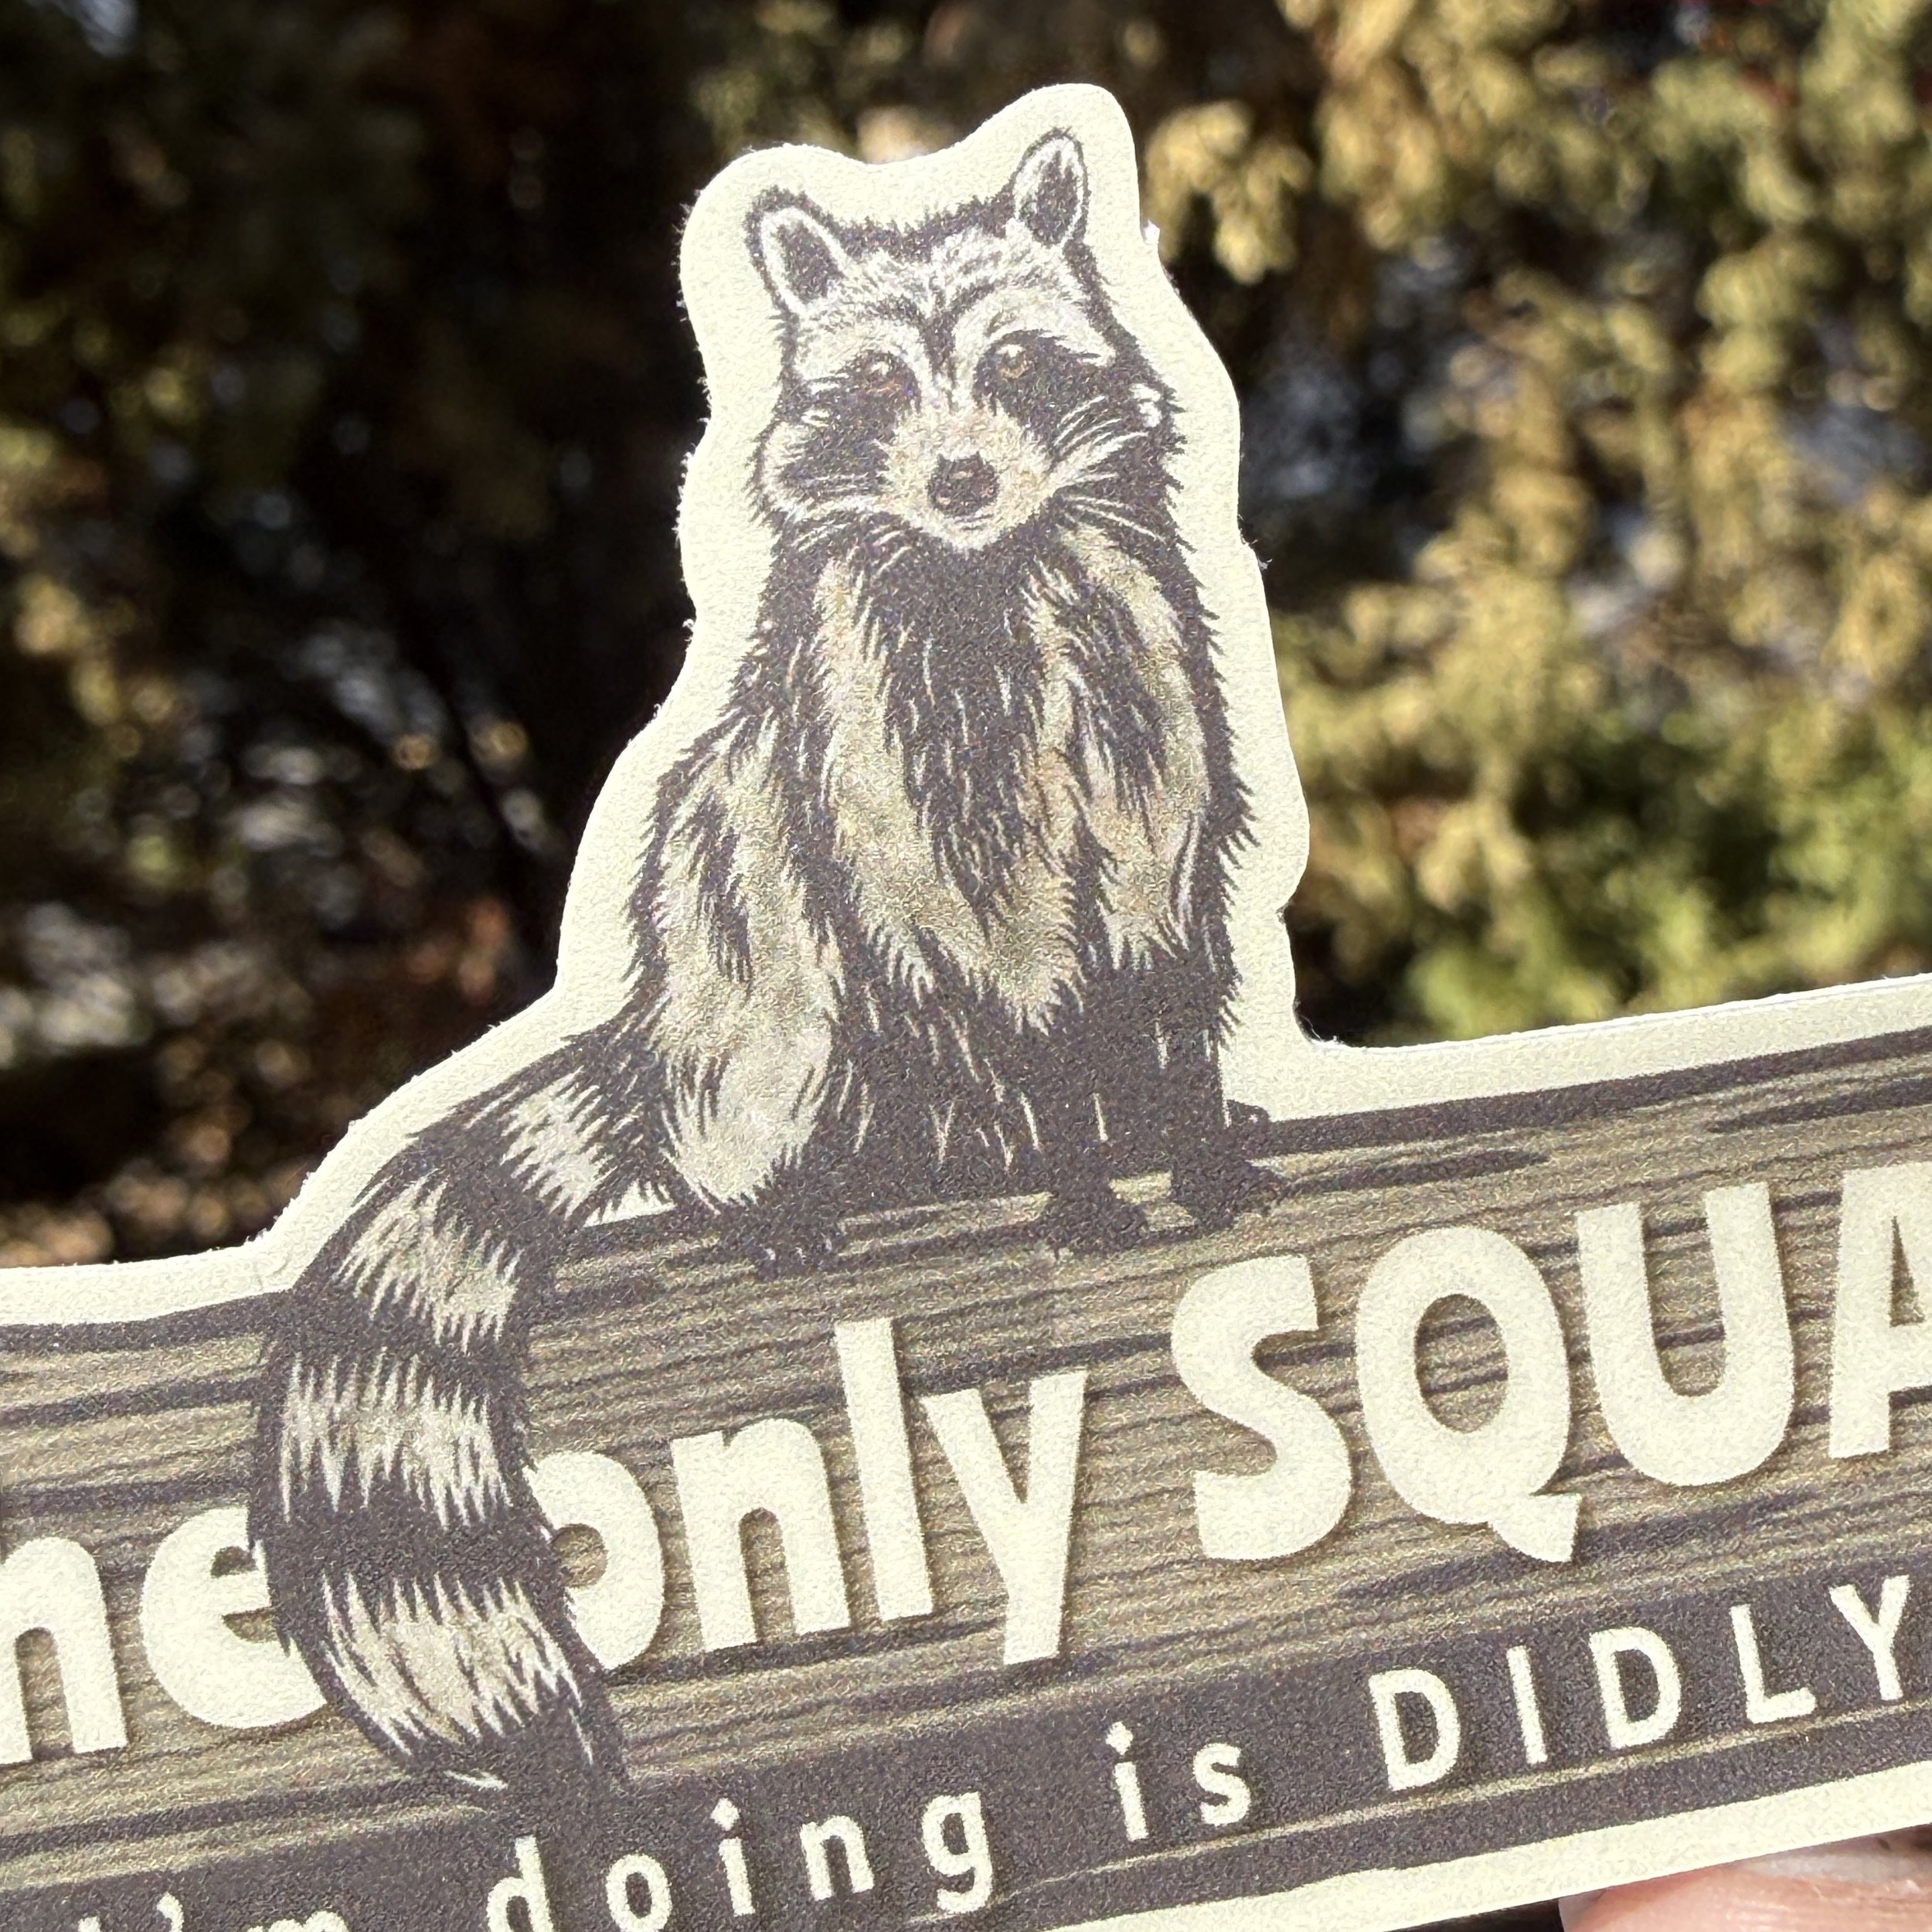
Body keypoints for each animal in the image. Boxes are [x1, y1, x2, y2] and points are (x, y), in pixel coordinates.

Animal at [250, 128, 1281, 1815]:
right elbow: (1014, 981)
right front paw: (1078, 1163)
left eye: (1009, 362)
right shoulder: (904, 783)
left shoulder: (1143, 713)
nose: (959, 479)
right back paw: (829, 1186)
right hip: (756, 990)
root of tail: (649, 1029)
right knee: (787, 1067)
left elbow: (1164, 946)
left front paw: (1186, 1131)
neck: (992, 568)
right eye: (875, 386)